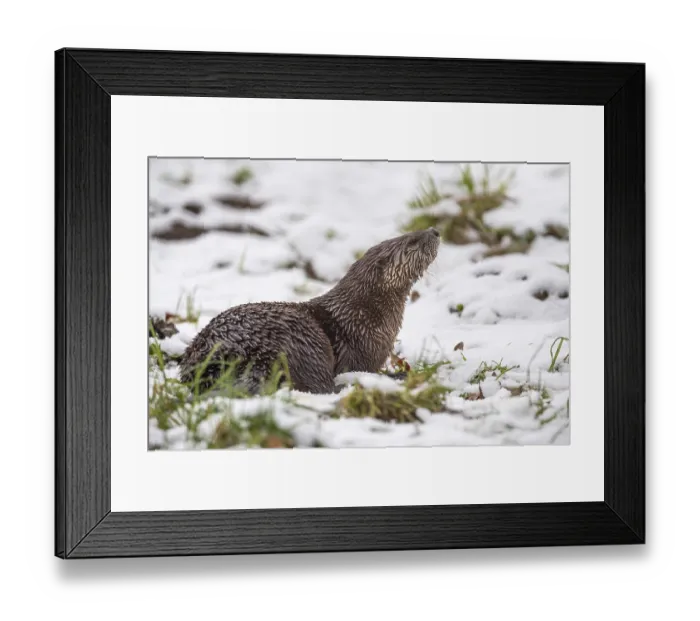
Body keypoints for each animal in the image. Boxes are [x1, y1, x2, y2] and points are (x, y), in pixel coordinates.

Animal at [178, 227, 441, 394]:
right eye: (411, 241)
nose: (436, 231)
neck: (363, 314)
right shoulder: (364, 349)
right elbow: (361, 369)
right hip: (308, 342)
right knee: (322, 386)